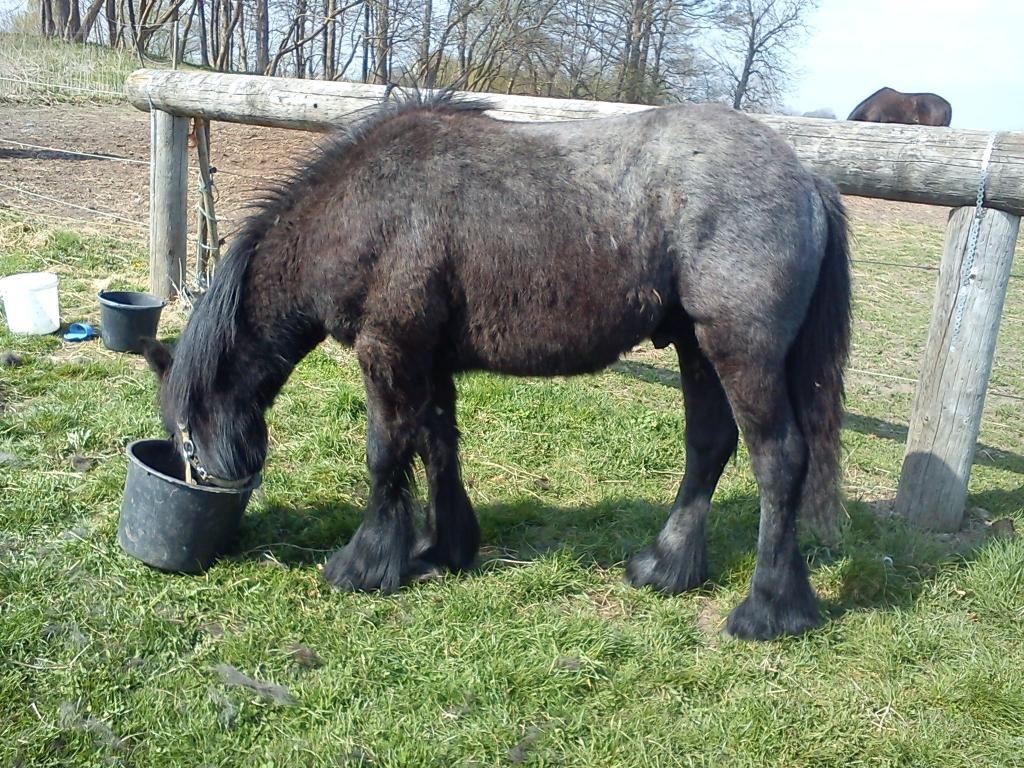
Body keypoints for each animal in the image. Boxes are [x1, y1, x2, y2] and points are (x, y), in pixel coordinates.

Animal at [142, 93, 851, 641]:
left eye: (183, 431)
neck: (363, 210)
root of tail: (808, 179)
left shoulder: (388, 351)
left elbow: (385, 453)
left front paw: (363, 566)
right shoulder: (427, 360)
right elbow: (437, 446)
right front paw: (445, 549)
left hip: (739, 351)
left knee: (779, 461)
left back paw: (767, 611)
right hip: (696, 348)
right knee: (708, 447)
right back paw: (665, 568)